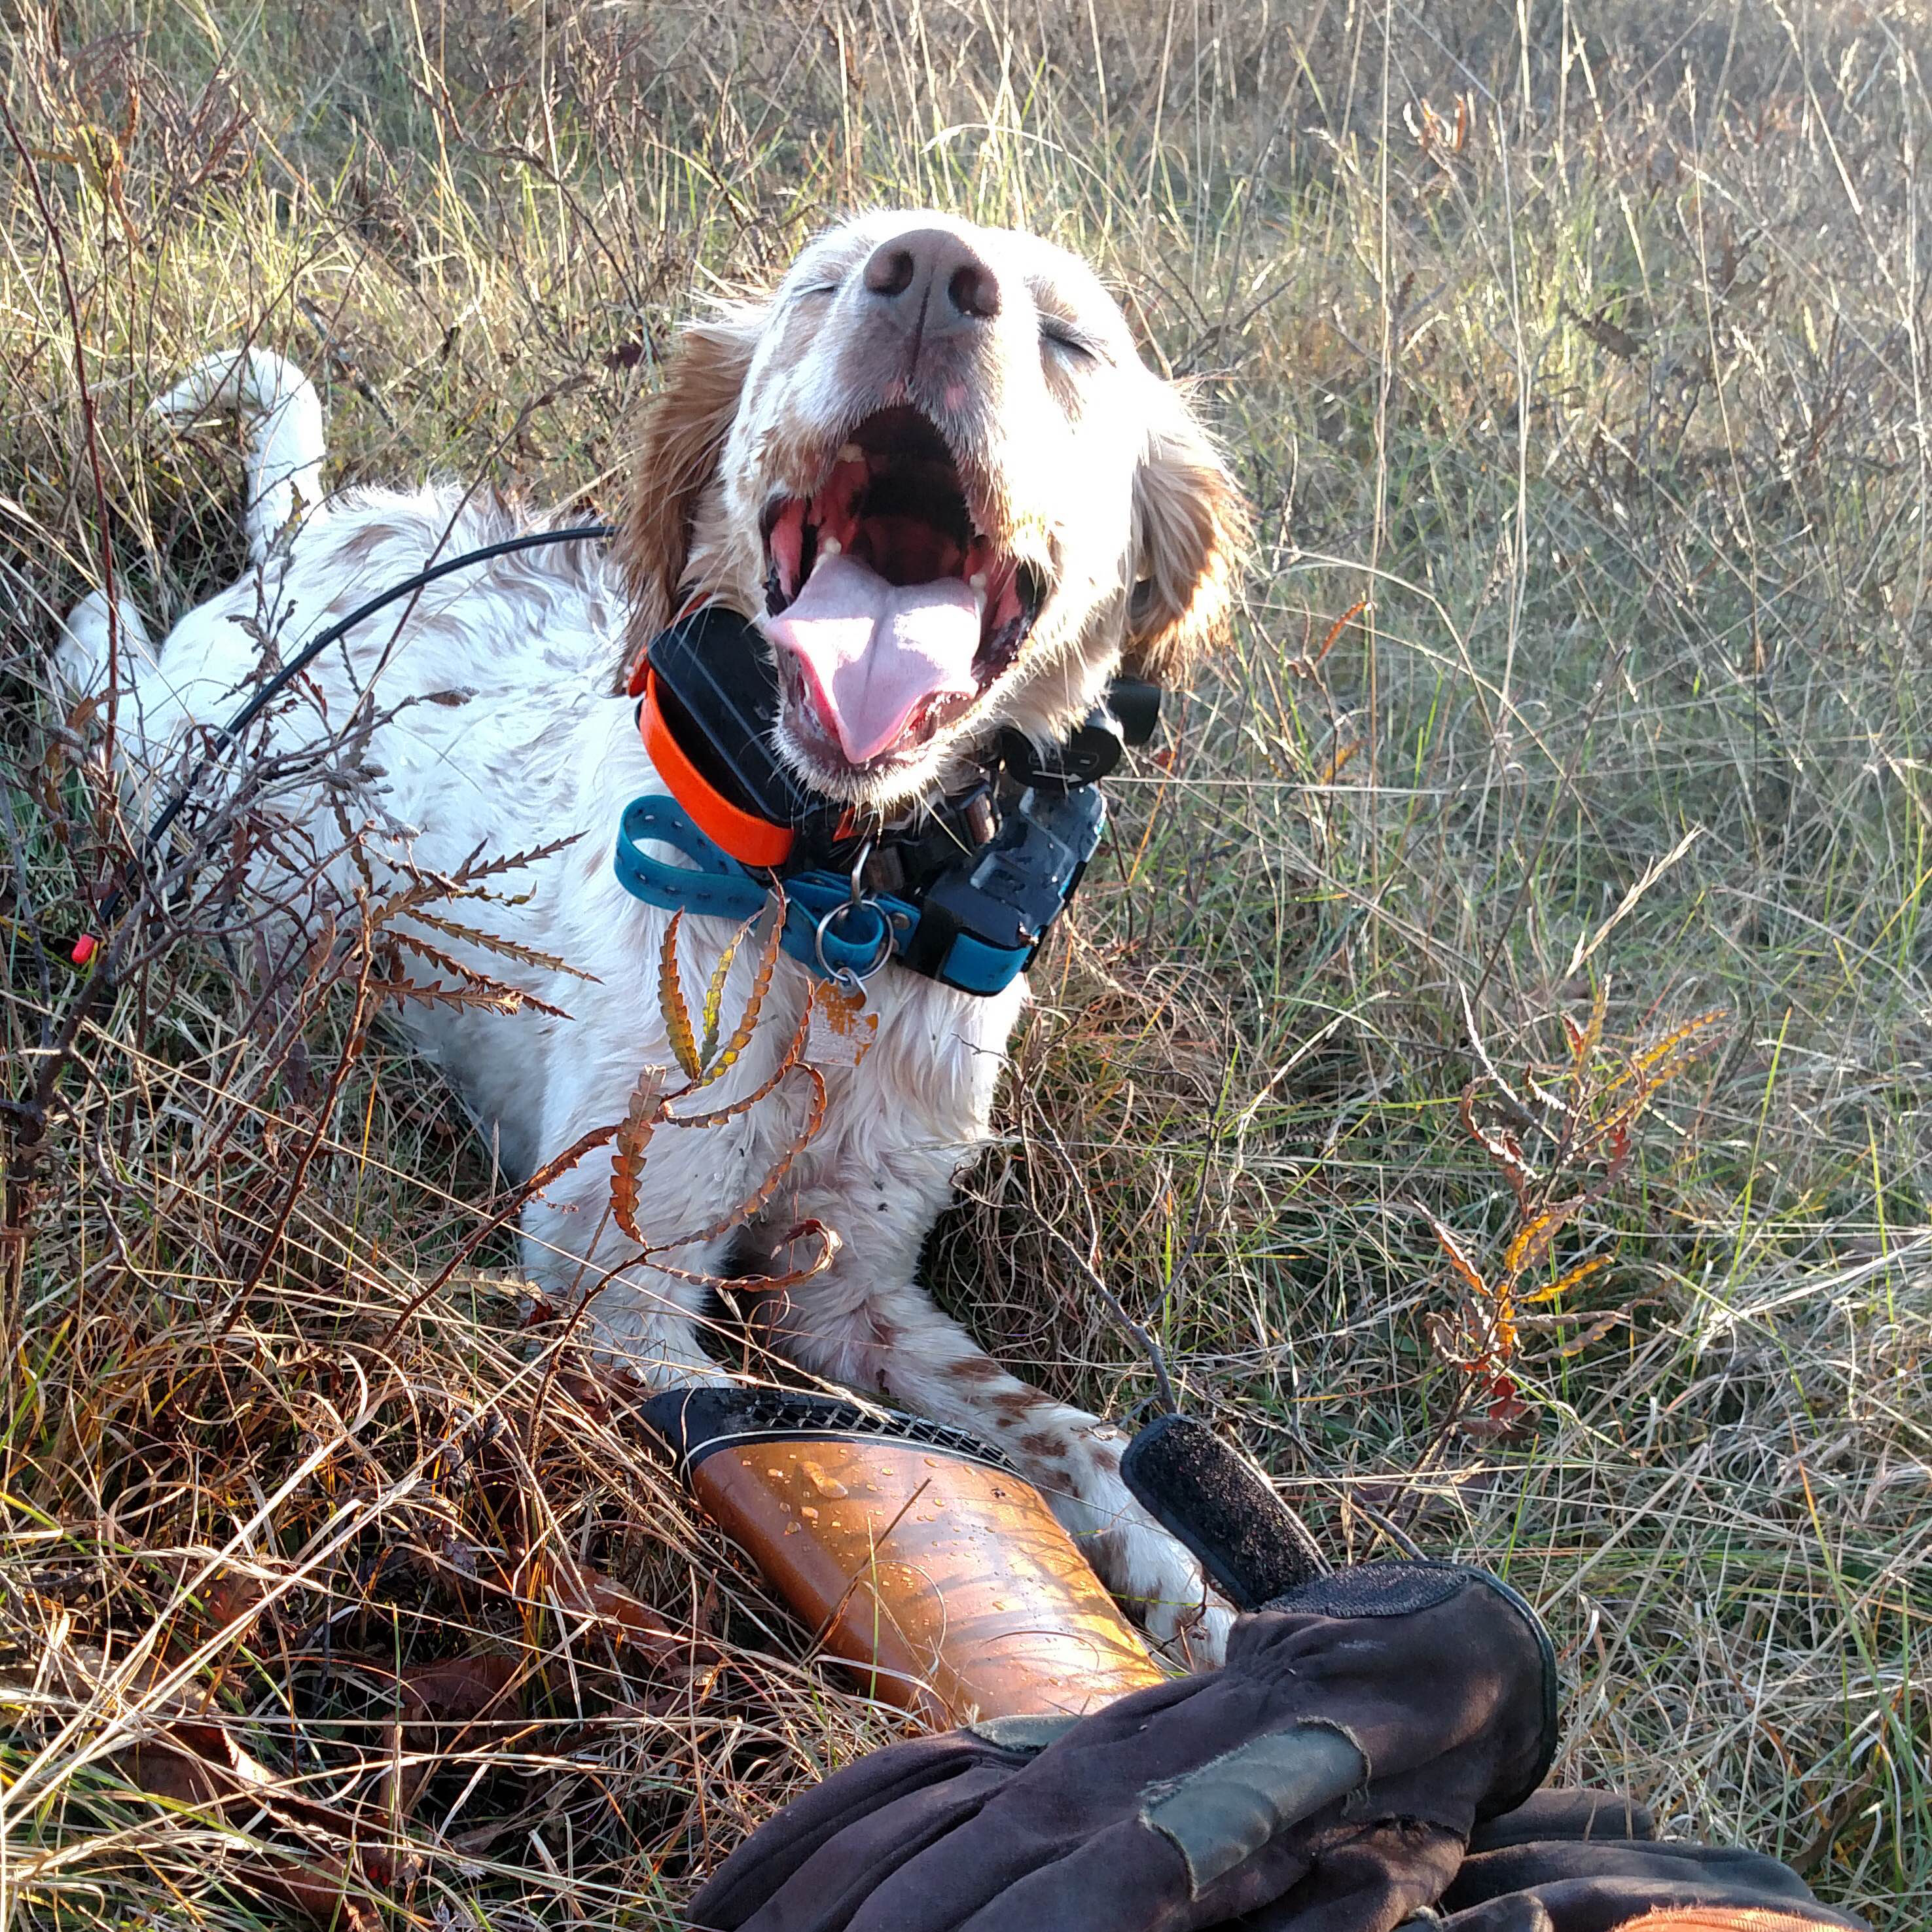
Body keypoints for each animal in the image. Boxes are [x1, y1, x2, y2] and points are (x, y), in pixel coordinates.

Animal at [56, 215, 1251, 1661]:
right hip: (166, 781)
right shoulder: (615, 1281)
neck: (846, 904)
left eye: (1071, 338)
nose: (927, 275)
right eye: (823, 282)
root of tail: (310, 541)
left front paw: (1201, 1595)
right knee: (90, 675)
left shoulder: (850, 1281)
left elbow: (1076, 1441)